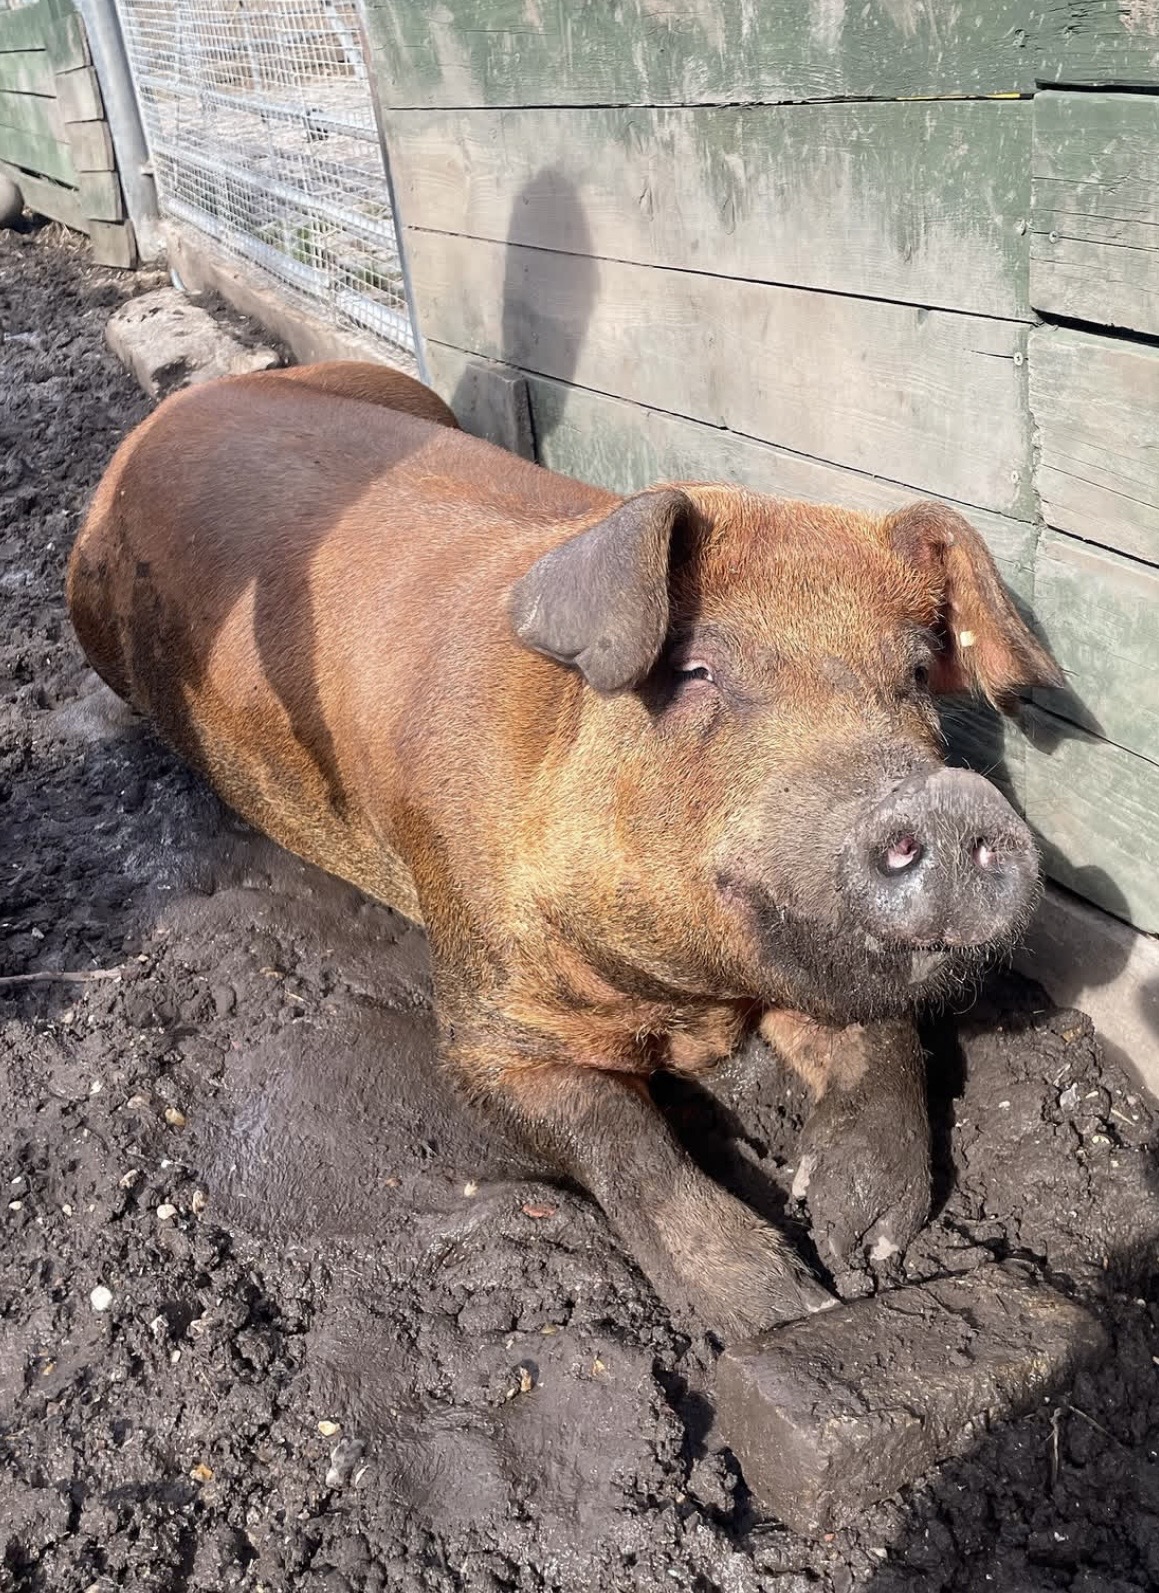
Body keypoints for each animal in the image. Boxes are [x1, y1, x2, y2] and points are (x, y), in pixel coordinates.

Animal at [66, 361, 1062, 1336]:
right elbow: (622, 1136)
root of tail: (163, 419)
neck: (691, 1000)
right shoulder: (483, 1019)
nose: (946, 799)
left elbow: (880, 1029)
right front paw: (782, 1304)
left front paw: (862, 1236)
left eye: (912, 674)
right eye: (696, 669)